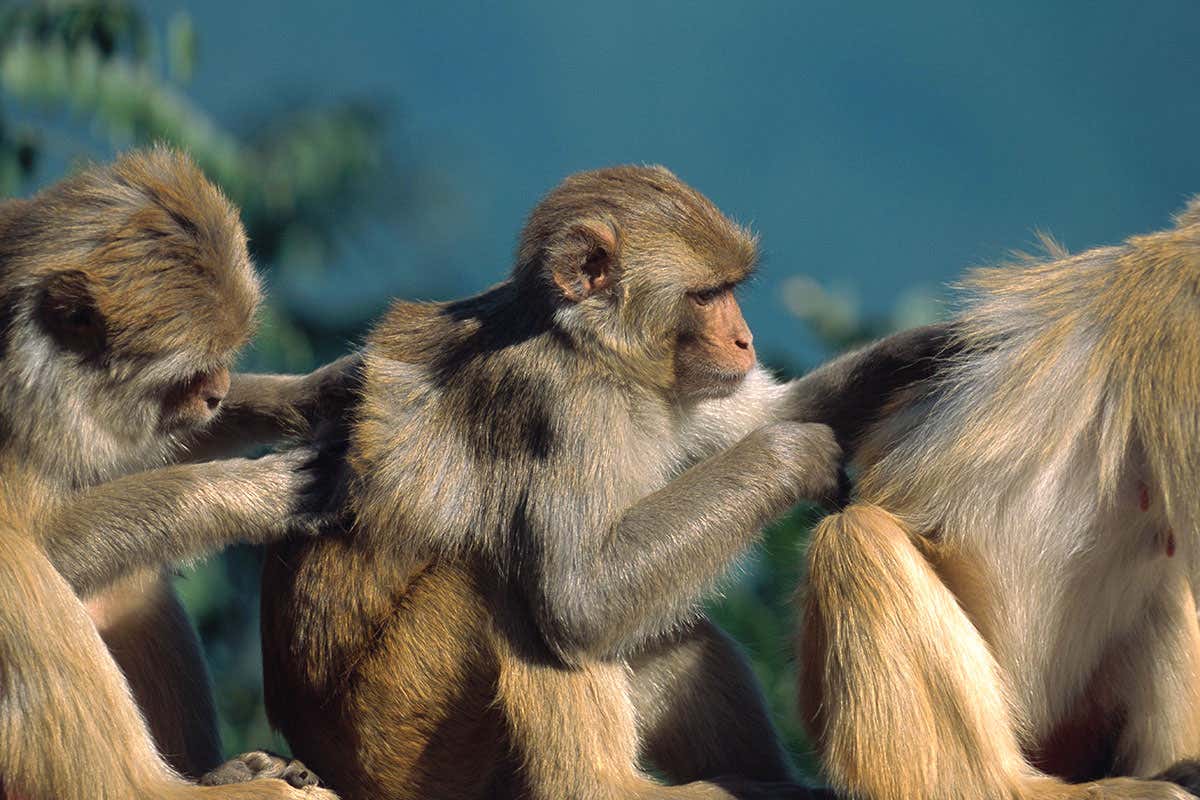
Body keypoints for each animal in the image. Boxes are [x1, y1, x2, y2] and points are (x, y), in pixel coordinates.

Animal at [0, 147, 344, 800]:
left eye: (218, 369)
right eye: (189, 373)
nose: (217, 393)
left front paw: (324, 391)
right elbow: (49, 545)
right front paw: (262, 492)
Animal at [260, 165, 954, 800]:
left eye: (730, 290)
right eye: (706, 295)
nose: (744, 341)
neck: (591, 348)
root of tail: (316, 748)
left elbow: (773, 411)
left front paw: (936, 348)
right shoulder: (562, 409)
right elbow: (579, 599)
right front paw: (798, 453)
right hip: (398, 734)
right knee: (511, 582)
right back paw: (609, 785)